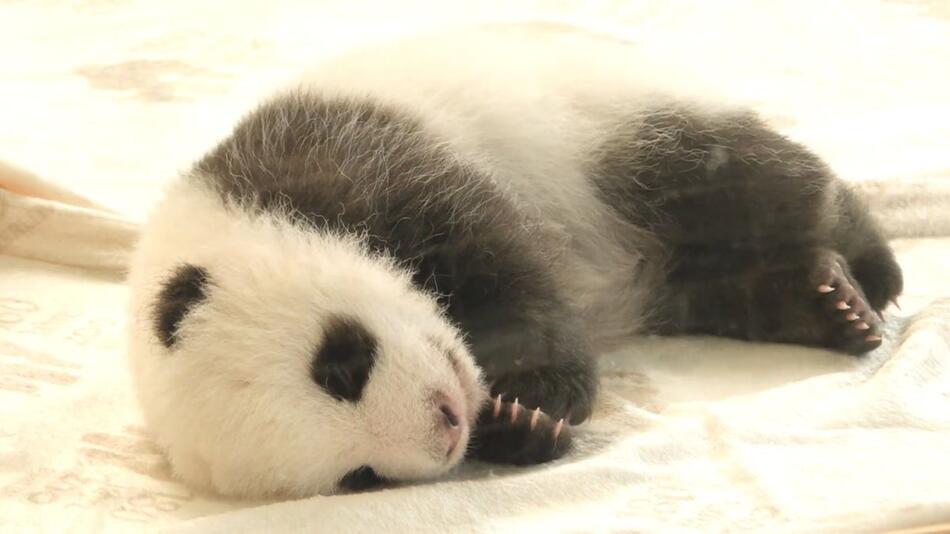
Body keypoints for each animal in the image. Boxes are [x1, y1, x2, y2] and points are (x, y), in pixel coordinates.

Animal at [126, 21, 908, 498]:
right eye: (360, 477)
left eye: (340, 366)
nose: (446, 425)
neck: (230, 204)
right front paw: (517, 423)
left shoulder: (353, 156)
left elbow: (496, 252)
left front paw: (544, 389)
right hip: (681, 274)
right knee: (730, 284)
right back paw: (826, 304)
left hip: (612, 123)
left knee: (749, 181)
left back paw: (867, 277)